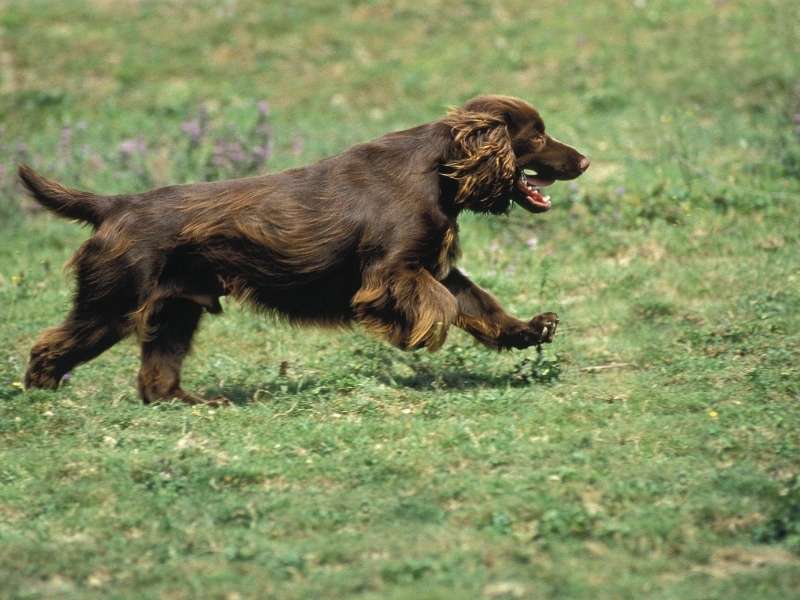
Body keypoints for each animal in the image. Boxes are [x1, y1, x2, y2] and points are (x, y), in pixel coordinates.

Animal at [21, 95, 592, 404]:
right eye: (537, 136)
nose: (585, 161)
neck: (440, 172)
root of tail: (115, 204)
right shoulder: (391, 272)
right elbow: (444, 305)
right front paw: (415, 336)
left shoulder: (433, 266)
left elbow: (476, 301)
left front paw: (531, 329)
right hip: (114, 299)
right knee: (50, 346)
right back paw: (41, 393)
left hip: (177, 308)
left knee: (157, 375)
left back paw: (195, 403)